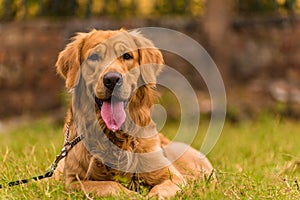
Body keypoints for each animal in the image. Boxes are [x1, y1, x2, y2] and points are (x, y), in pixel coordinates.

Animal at [54, 29, 213, 198]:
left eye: (127, 56)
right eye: (94, 57)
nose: (112, 79)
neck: (116, 135)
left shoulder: (173, 177)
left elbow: (160, 189)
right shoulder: (73, 182)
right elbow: (109, 185)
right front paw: (132, 195)